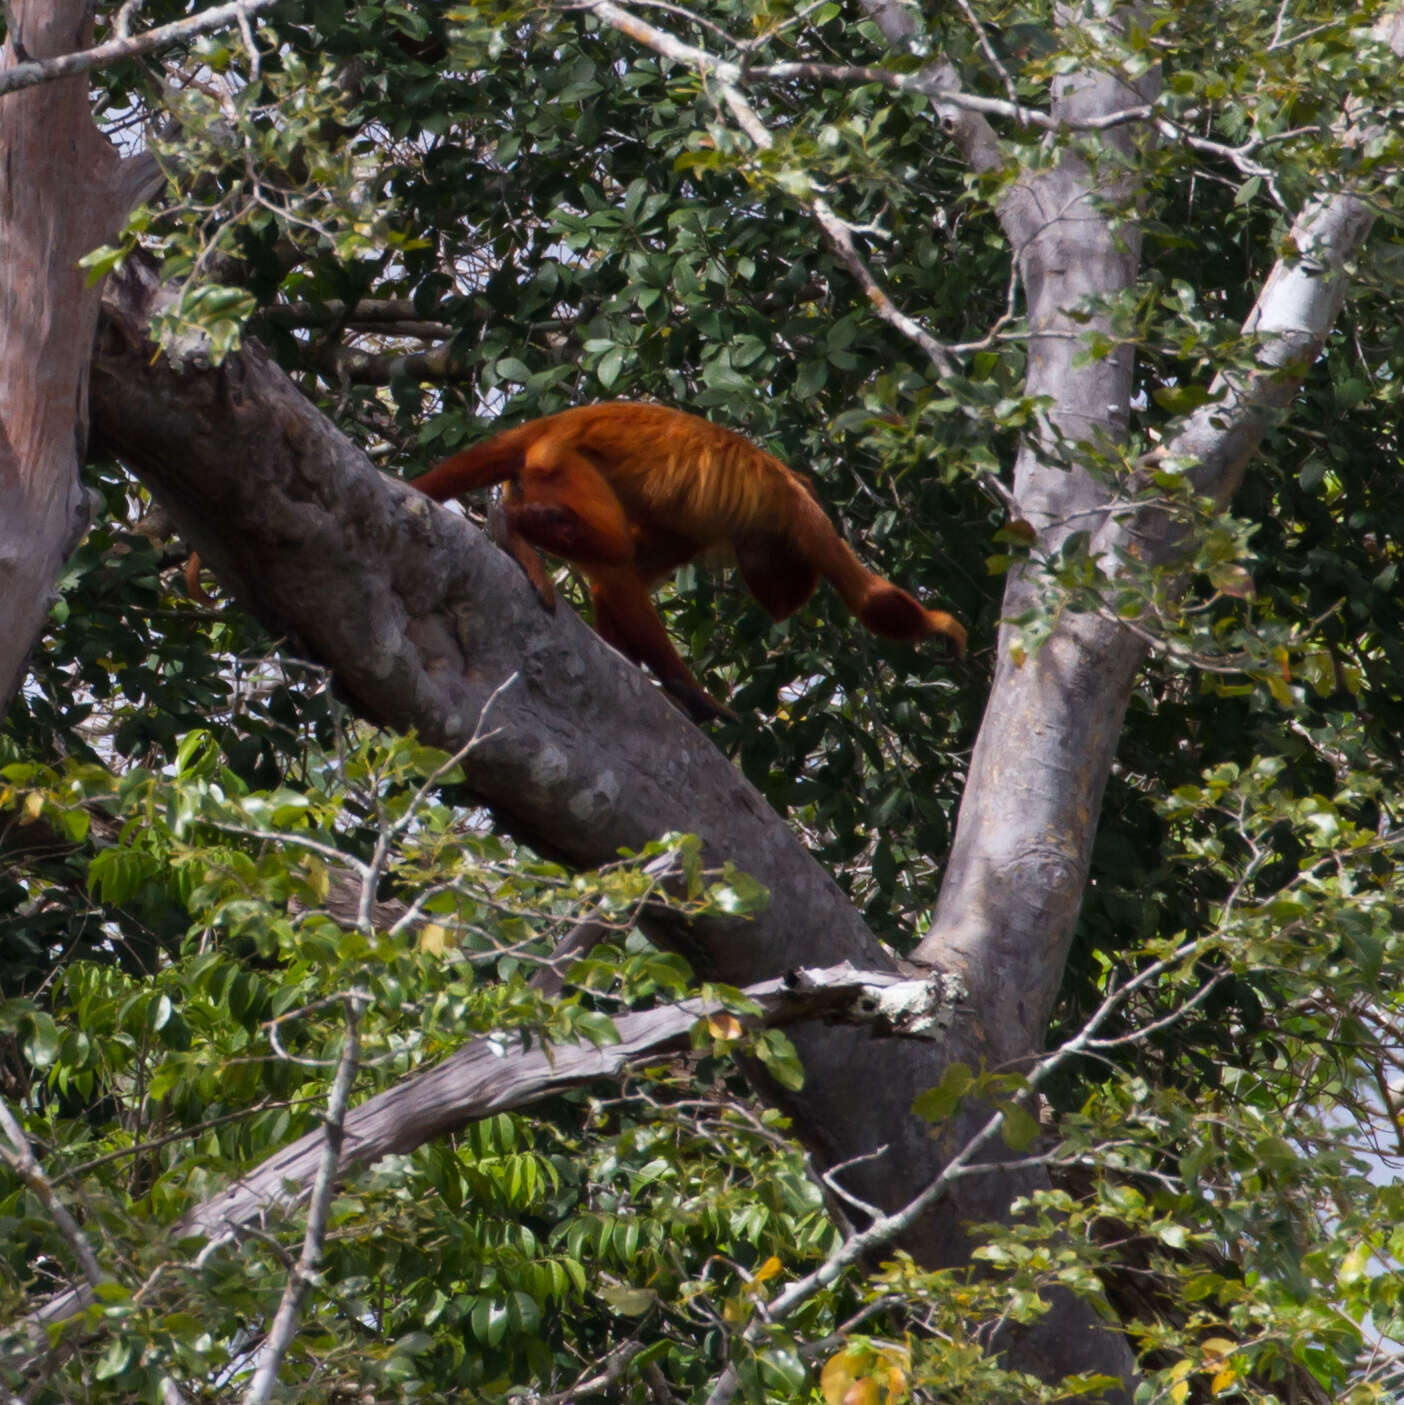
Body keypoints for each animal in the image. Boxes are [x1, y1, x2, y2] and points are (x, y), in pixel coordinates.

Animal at [410, 401, 972, 719]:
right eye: (790, 584)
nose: (782, 607)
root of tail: (558, 421)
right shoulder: (799, 514)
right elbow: (868, 597)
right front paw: (942, 627)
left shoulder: (689, 533)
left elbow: (624, 579)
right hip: (560, 462)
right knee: (611, 543)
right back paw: (511, 527)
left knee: (615, 561)